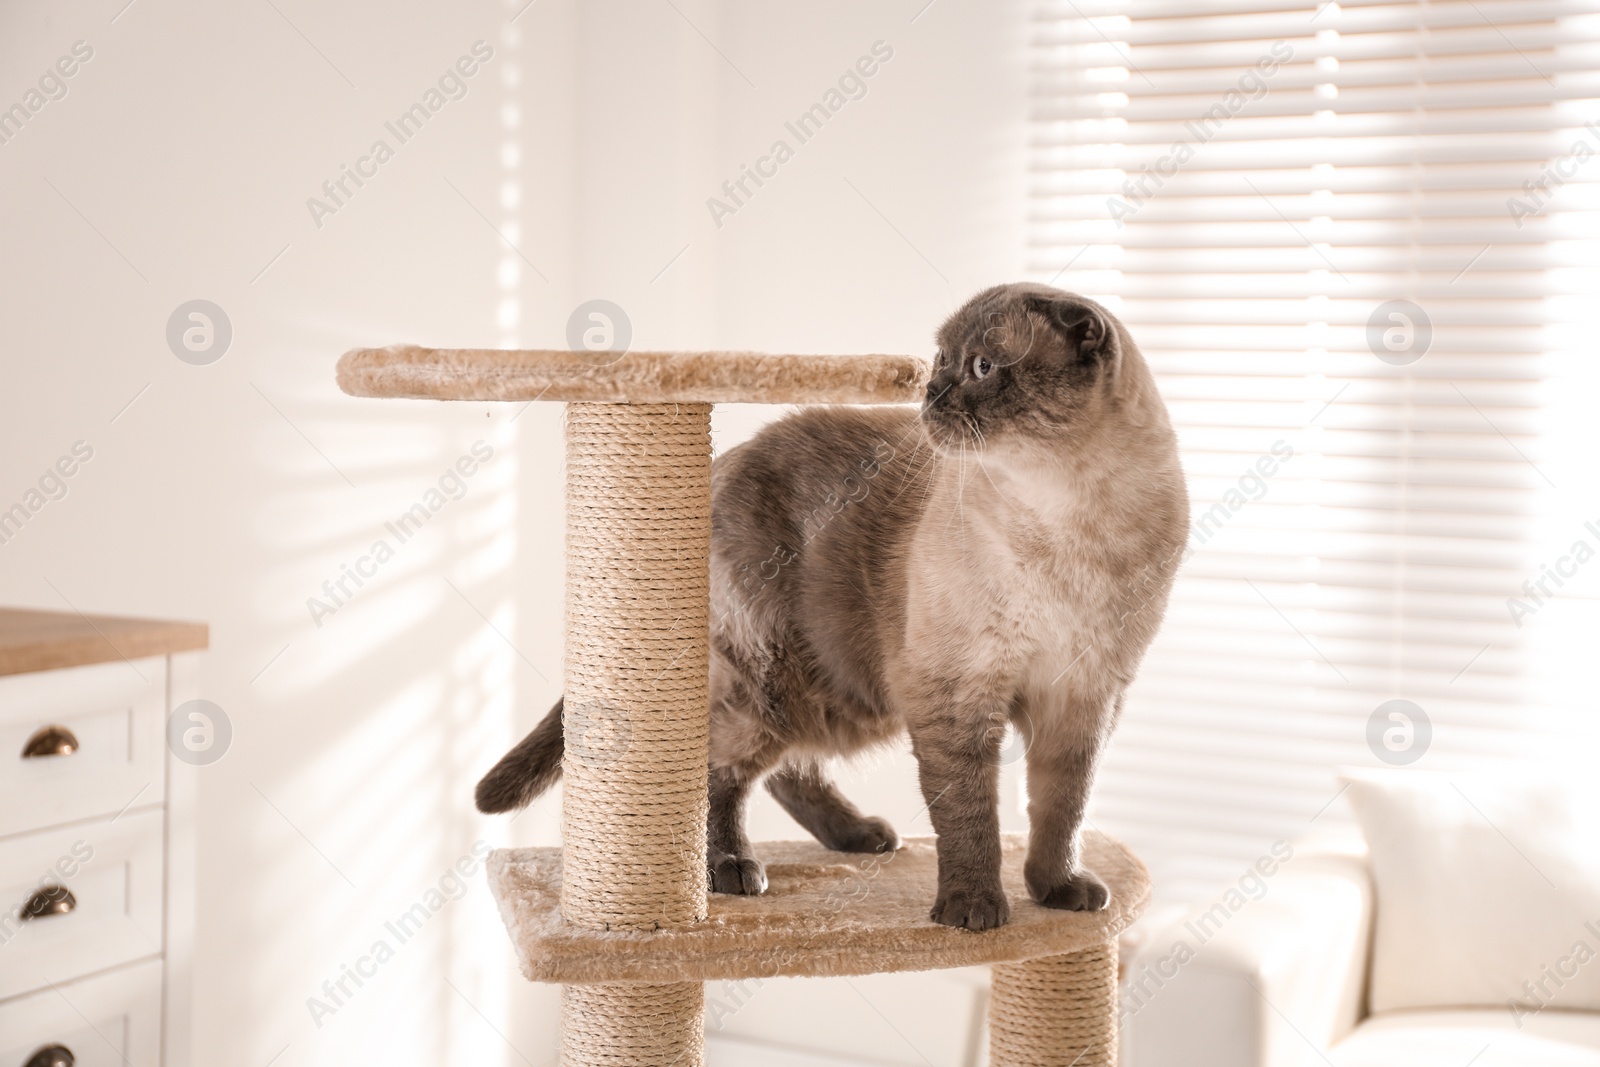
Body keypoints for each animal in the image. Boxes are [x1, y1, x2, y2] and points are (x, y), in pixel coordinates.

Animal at [473, 283, 1190, 934]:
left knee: (787, 770)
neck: (1071, 520)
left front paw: (1057, 892)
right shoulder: (957, 696)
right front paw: (973, 911)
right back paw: (732, 871)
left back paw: (862, 837)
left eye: (983, 367)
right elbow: (971, 820)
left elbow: (1061, 810)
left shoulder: (1083, 699)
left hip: (844, 697)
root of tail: (721, 461)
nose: (930, 395)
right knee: (720, 772)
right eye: (941, 361)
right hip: (774, 686)